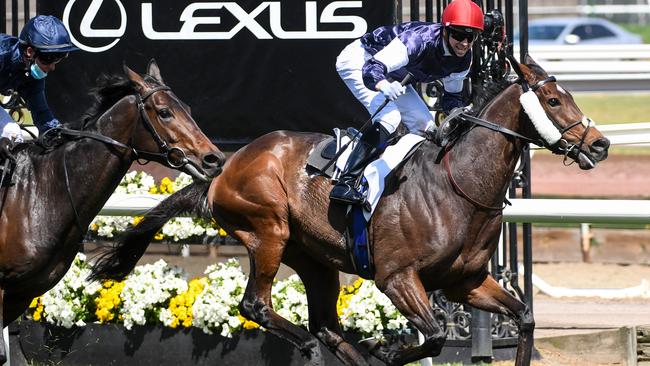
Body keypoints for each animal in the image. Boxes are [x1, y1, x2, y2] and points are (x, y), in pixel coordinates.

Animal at [91, 55, 608, 366]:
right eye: (554, 99)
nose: (599, 145)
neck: (458, 187)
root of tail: (224, 167)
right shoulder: (397, 278)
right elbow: (435, 335)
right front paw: (387, 346)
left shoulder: (466, 282)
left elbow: (523, 318)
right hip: (268, 231)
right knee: (257, 305)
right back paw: (308, 345)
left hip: (314, 259)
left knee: (326, 325)